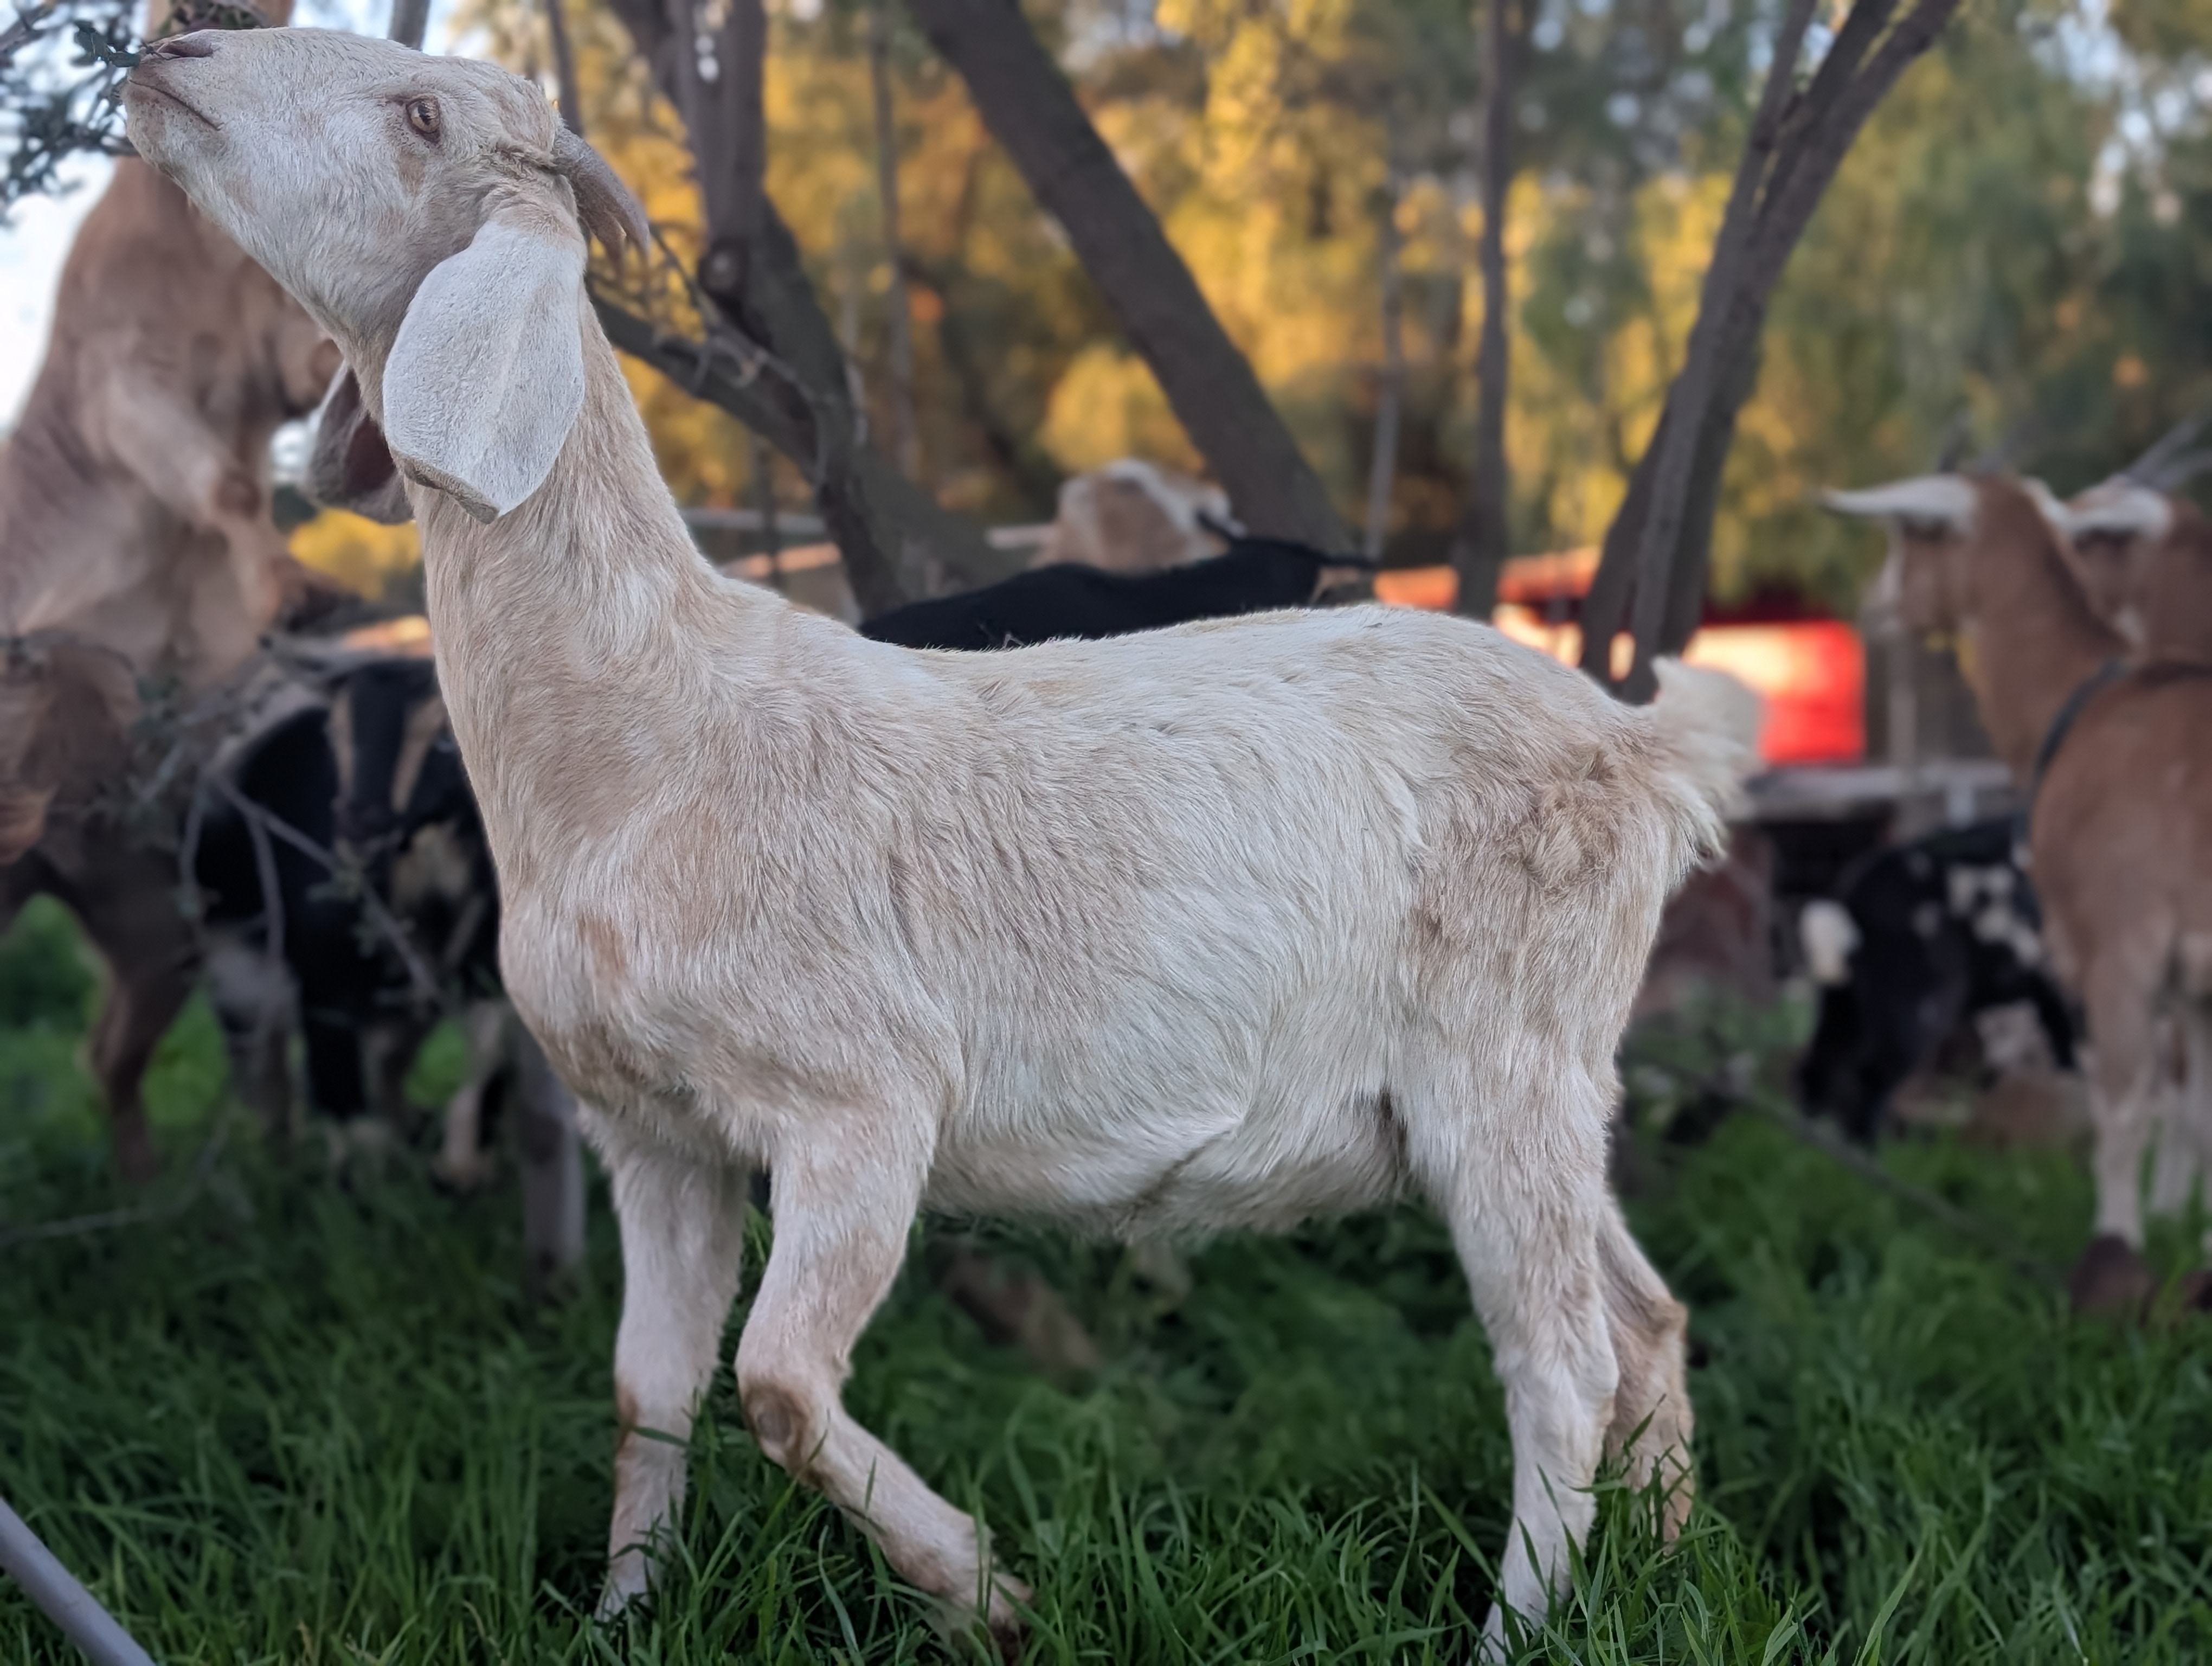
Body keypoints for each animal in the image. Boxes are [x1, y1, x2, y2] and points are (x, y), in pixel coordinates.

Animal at [125, 30, 1762, 1645]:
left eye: (417, 114)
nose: (170, 54)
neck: (647, 730)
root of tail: (1642, 746)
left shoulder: (859, 1102)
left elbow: (779, 1384)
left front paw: (988, 1589)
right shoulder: (652, 1132)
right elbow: (648, 1391)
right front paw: (623, 1617)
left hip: (1504, 1062)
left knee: (1563, 1367)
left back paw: (1522, 1627)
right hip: (1531, 1087)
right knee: (1648, 1322)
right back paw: (1674, 1566)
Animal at [1796, 818, 2077, 1144]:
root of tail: (1851, 908)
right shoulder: (2005, 956)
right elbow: (2045, 993)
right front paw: (2069, 1055)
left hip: (1845, 1004)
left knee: (1823, 1061)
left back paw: (1812, 1130)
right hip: (1916, 1003)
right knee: (1872, 1074)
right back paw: (1867, 1143)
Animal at [1826, 474, 2212, 1314]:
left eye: (1909, 534)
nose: (1872, 607)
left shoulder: (2120, 943)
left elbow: (2123, 1114)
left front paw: (2118, 1262)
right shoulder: (2195, 985)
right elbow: (2195, 1107)